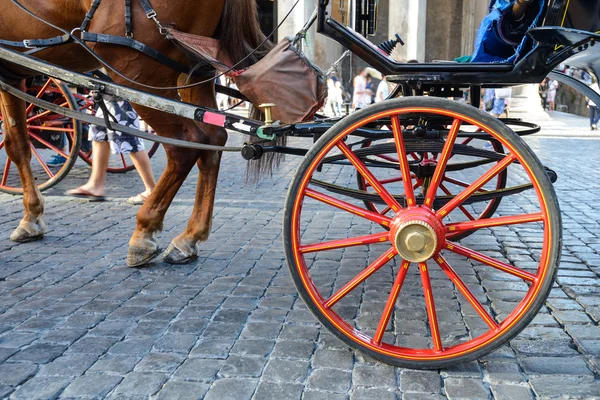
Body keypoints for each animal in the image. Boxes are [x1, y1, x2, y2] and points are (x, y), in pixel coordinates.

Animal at [0, 1, 268, 268]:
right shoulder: (11, 75)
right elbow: (18, 143)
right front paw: (31, 217)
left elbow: (14, 144)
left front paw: (31, 215)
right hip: (194, 71)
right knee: (213, 140)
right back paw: (189, 237)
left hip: (139, 71)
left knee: (185, 145)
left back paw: (144, 233)